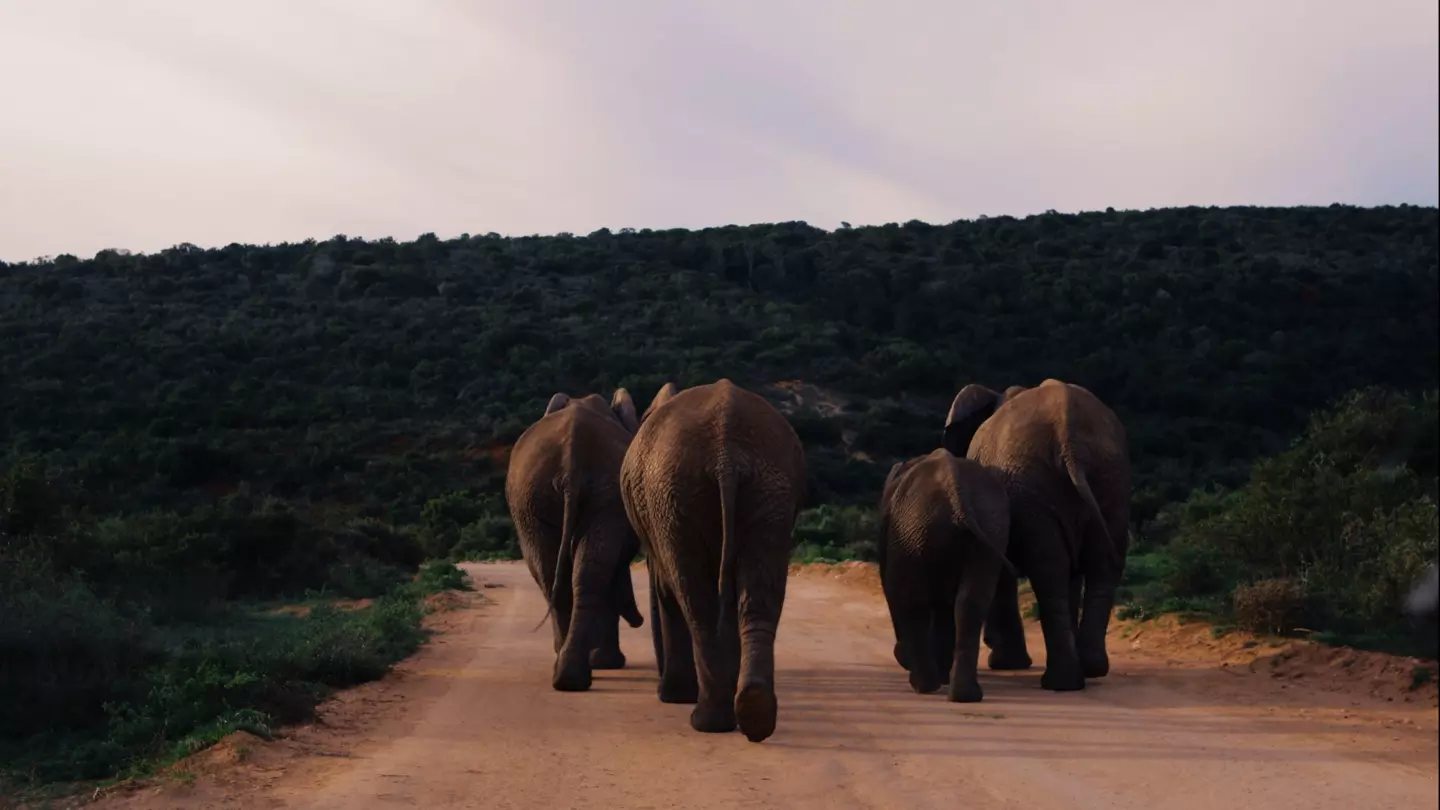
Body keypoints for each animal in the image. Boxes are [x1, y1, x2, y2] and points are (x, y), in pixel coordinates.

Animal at [505, 388, 647, 692]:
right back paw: (571, 674)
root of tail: (573, 451)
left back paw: (569, 675)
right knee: (570, 573)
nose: (638, 621)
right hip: (535, 497)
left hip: (552, 497)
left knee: (564, 573)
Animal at [619, 379, 807, 743]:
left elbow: (667, 591)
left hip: (674, 498)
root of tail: (726, 454)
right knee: (758, 593)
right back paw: (753, 712)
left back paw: (707, 720)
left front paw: (673, 697)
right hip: (770, 489)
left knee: (695, 602)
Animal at [879, 448, 1012, 702]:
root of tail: (956, 493)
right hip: (990, 527)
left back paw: (925, 686)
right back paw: (964, 695)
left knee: (911, 600)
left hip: (914, 532)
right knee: (971, 602)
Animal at [942, 378, 1131, 693]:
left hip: (1038, 486)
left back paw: (1061, 682)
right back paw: (1089, 669)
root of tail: (1070, 440)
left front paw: (1004, 663)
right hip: (1109, 478)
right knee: (1096, 566)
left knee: (1050, 571)